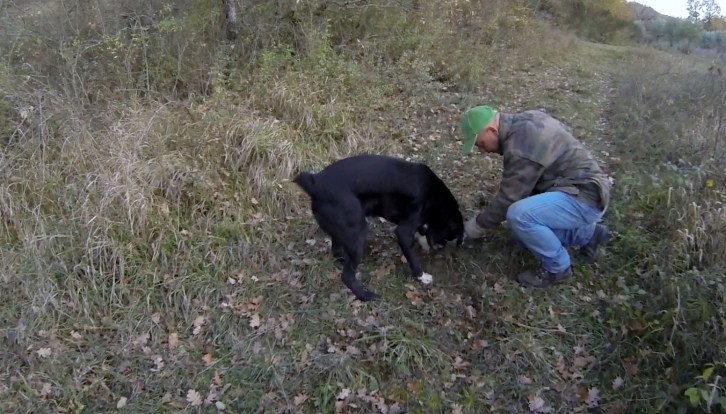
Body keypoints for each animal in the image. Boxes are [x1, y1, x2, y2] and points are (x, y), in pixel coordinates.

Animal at [292, 153, 466, 300]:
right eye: (448, 237)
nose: (440, 248)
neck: (436, 196)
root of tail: (315, 182)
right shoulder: (404, 230)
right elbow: (413, 258)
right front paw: (422, 276)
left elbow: (422, 229)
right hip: (358, 231)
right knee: (347, 276)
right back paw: (365, 296)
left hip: (345, 228)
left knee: (336, 250)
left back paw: (343, 259)